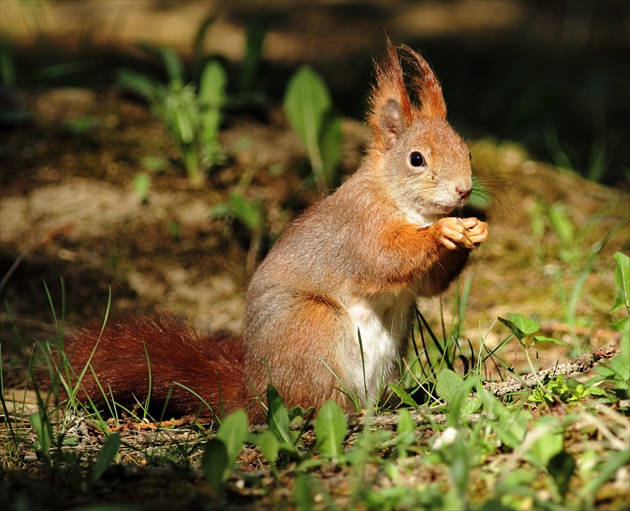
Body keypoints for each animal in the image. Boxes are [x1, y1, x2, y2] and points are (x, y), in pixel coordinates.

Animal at [53, 41, 488, 424]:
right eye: (416, 159)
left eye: (467, 151)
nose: (464, 190)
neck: (404, 204)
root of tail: (254, 394)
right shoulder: (359, 225)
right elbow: (384, 259)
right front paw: (443, 232)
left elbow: (429, 284)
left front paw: (475, 230)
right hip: (311, 328)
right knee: (312, 403)